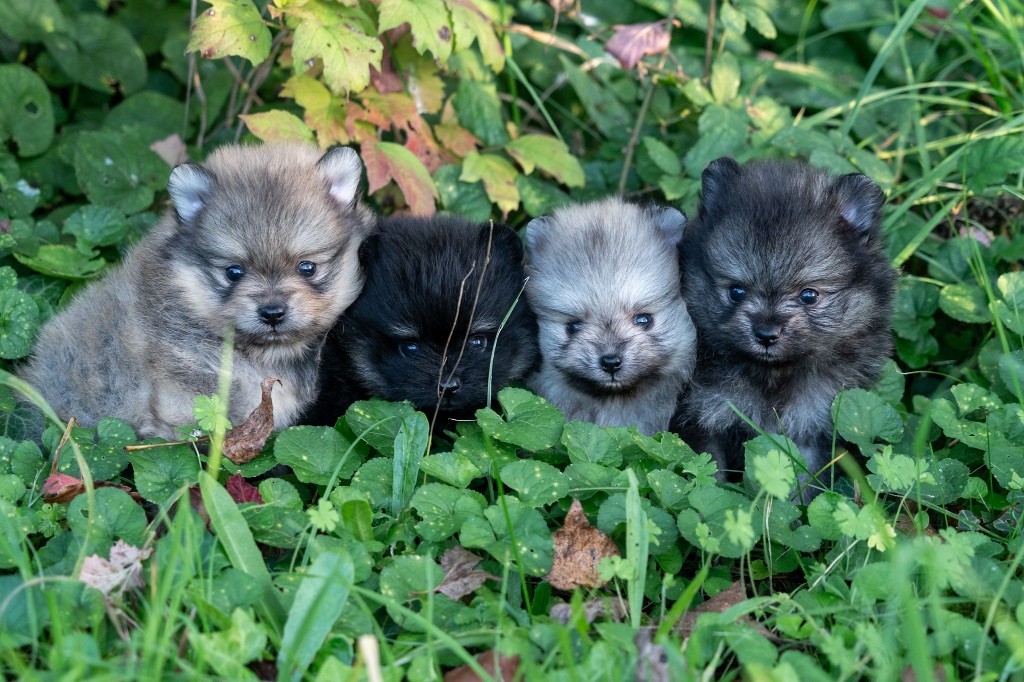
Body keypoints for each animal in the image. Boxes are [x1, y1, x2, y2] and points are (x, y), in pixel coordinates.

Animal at [675, 156, 901, 491]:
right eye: (736, 291)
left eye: (809, 295)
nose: (766, 333)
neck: (772, 376)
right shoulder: (704, 416)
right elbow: (710, 474)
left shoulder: (810, 426)